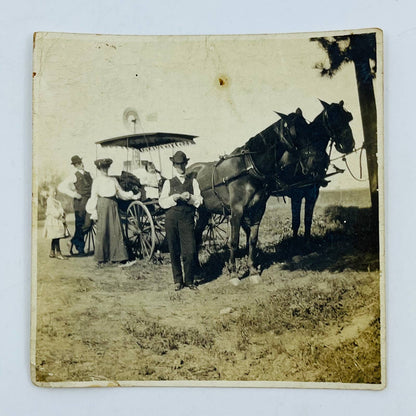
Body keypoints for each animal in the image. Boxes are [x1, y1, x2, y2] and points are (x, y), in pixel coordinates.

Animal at [187, 109, 324, 278]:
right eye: (295, 131)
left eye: (309, 127)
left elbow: (252, 239)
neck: (248, 168)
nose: (315, 161)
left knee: (197, 235)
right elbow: (234, 241)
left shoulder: (258, 209)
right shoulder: (236, 210)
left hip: (204, 211)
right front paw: (234, 273)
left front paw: (252, 269)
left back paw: (197, 269)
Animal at [274, 98, 356, 239]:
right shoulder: (296, 193)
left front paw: (307, 240)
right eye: (331, 119)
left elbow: (308, 220)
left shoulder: (313, 192)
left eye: (347, 117)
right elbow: (296, 221)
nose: (349, 144)